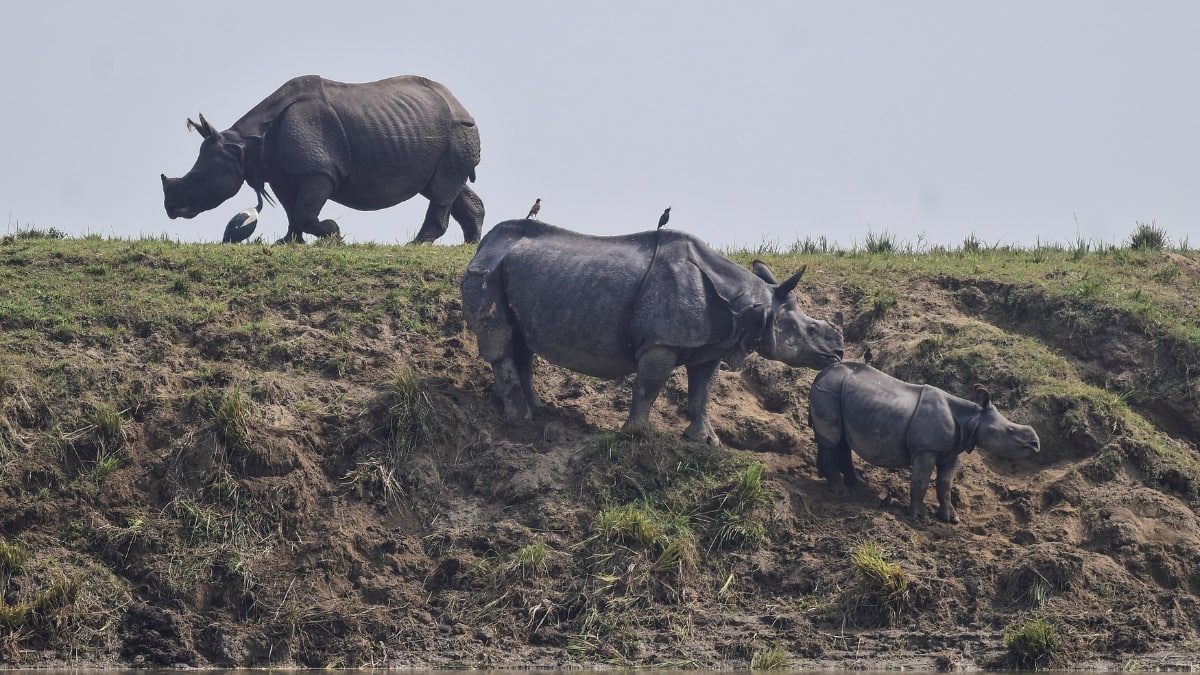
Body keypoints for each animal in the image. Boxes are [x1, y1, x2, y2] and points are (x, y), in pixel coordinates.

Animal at [161, 75, 484, 244]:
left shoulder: (319, 169)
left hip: (458, 129)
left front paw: (333, 233)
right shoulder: (281, 174)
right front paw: (288, 243)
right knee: (443, 186)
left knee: (442, 188)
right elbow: (292, 211)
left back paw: (415, 244)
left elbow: (305, 211)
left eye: (197, 178)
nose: (171, 208)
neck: (243, 145)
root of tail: (460, 104)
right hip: (439, 130)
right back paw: (470, 246)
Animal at [461, 219, 845, 445]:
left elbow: (702, 393)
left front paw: (705, 442)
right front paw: (636, 433)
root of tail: (483, 246)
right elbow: (648, 387)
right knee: (501, 341)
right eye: (810, 329)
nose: (838, 352)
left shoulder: (710, 346)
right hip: (488, 270)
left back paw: (538, 409)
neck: (751, 302)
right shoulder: (662, 341)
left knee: (522, 342)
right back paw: (521, 419)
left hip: (516, 272)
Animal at [808, 362, 1040, 523]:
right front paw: (918, 517)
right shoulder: (926, 449)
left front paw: (950, 518)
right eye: (1010, 430)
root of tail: (820, 374)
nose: (1036, 444)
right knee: (832, 441)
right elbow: (921, 481)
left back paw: (858, 485)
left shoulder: (952, 451)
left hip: (838, 392)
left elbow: (945, 484)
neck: (972, 419)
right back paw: (841, 493)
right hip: (829, 390)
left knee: (842, 441)